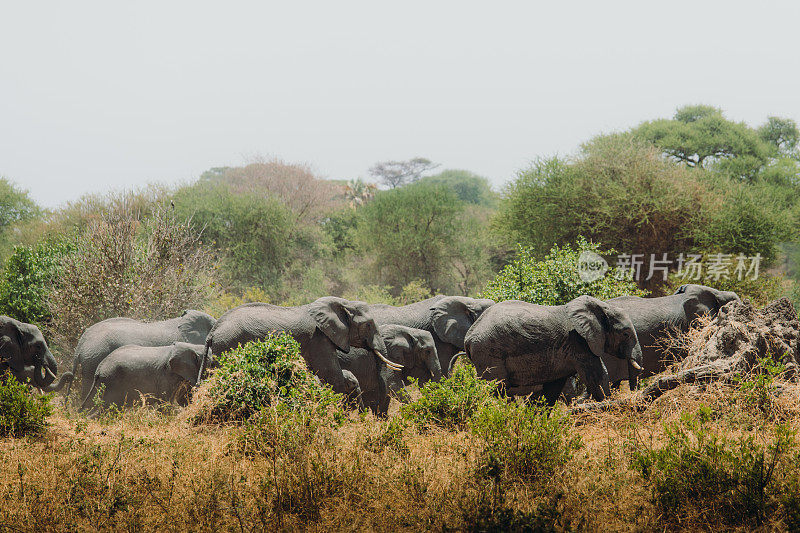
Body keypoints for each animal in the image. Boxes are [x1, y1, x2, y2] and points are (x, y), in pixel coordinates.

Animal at [80, 342, 209, 410]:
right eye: (211, 363)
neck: (192, 346)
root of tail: (99, 368)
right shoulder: (166, 375)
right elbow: (165, 401)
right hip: (112, 380)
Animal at [200, 296, 396, 408]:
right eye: (368, 325)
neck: (342, 304)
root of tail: (213, 331)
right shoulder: (318, 338)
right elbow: (331, 375)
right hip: (229, 346)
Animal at [462, 296, 644, 404]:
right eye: (626, 334)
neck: (601, 306)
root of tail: (468, 337)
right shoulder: (579, 342)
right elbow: (597, 376)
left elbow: (553, 387)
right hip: (489, 353)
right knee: (497, 388)